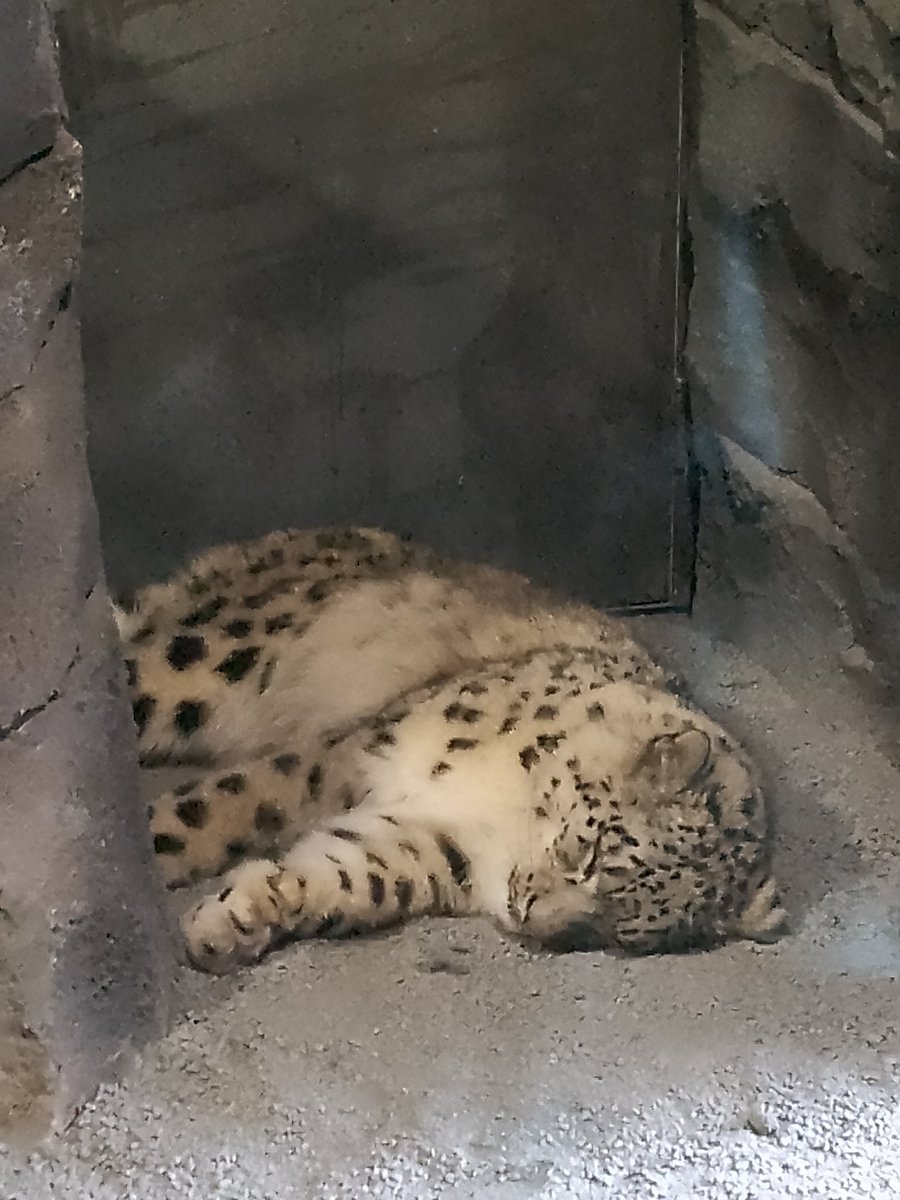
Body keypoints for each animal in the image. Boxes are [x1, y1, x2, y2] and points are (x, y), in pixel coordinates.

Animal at [117, 525, 786, 973]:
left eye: (620, 933)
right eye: (592, 851)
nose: (529, 916)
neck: (501, 817)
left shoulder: (425, 844)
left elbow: (345, 874)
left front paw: (232, 921)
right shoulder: (352, 755)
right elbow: (227, 805)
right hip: (201, 662)